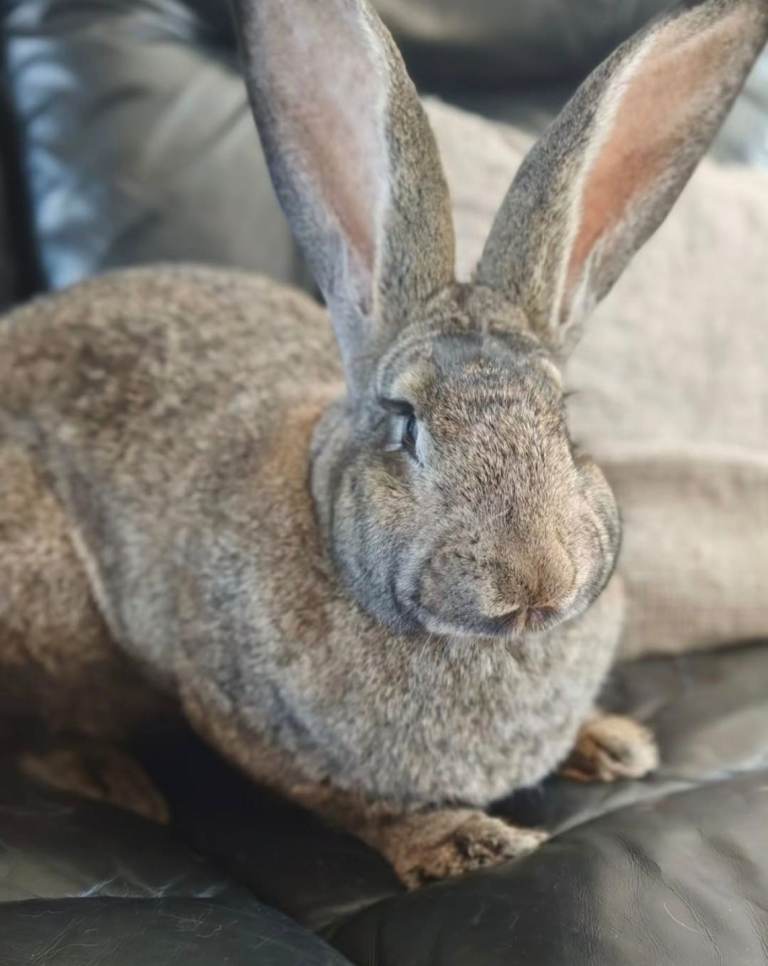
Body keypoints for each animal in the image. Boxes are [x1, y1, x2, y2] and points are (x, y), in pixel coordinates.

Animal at [1, 0, 765, 888]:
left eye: (564, 416)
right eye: (406, 422)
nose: (537, 576)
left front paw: (610, 741)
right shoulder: (243, 720)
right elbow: (354, 803)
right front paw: (466, 843)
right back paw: (111, 779)